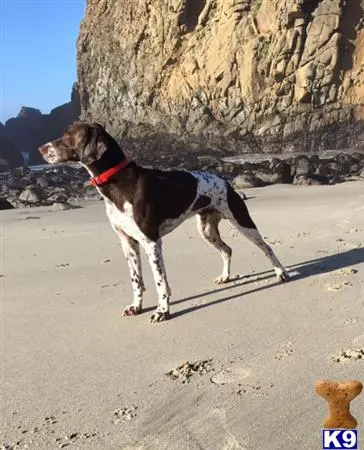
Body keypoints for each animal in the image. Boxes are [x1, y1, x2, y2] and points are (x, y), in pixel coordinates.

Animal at [39, 121, 290, 322]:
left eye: (68, 135)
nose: (41, 148)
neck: (118, 182)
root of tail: (223, 179)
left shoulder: (151, 242)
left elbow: (160, 282)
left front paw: (162, 311)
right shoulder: (128, 242)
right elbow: (136, 280)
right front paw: (136, 307)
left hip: (242, 221)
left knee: (266, 247)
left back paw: (281, 273)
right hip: (207, 229)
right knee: (227, 249)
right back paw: (226, 277)